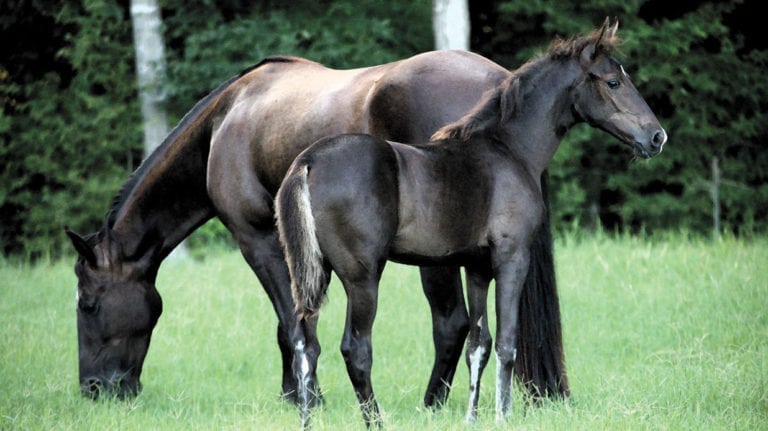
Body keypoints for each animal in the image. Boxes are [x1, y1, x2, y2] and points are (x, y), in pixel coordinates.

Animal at [66, 28, 568, 406]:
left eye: (87, 304)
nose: (94, 389)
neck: (225, 121)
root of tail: (499, 80)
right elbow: (294, 322)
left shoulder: (258, 239)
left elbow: (292, 325)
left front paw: (303, 397)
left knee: (451, 324)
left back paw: (431, 405)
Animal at [278, 17, 664, 428]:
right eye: (613, 81)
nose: (657, 136)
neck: (509, 150)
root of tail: (308, 162)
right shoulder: (512, 258)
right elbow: (507, 343)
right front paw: (502, 416)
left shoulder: (477, 267)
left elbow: (479, 345)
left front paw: (472, 417)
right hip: (361, 276)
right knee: (356, 349)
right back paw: (376, 420)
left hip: (314, 273)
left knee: (306, 344)